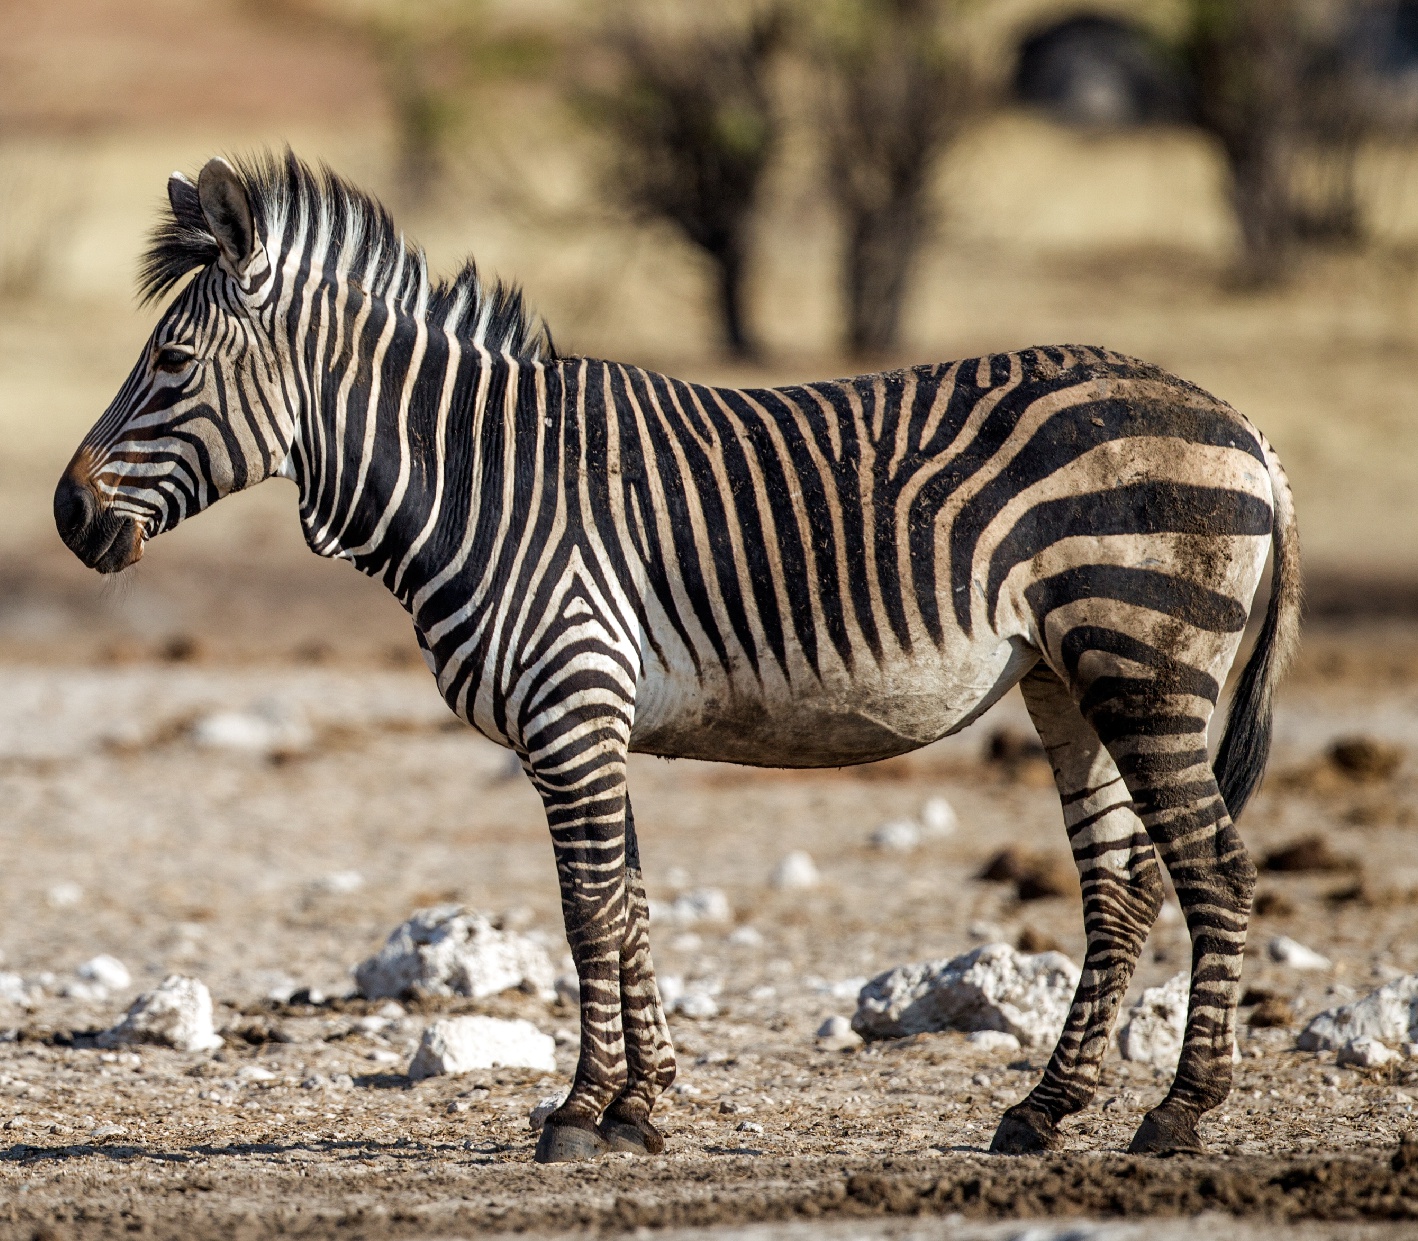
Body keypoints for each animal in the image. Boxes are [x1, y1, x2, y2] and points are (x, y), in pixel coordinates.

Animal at [55, 153, 1298, 1162]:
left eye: (170, 360)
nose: (67, 517)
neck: (480, 480)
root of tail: (1240, 423)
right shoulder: (593, 721)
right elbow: (633, 905)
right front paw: (638, 1107)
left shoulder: (569, 708)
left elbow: (587, 910)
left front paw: (576, 1111)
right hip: (1064, 679)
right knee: (1118, 891)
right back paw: (1042, 1110)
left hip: (1143, 662)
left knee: (1214, 870)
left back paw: (1176, 1113)